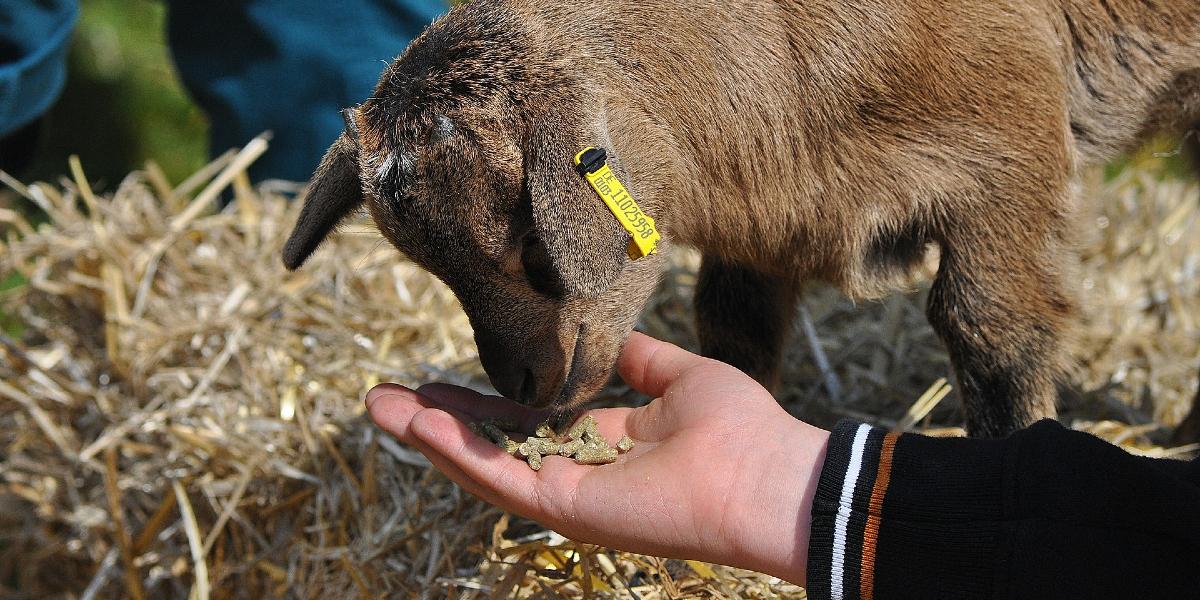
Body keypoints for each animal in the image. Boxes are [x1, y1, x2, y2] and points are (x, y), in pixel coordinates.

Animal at [283, 1, 1200, 441]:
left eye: (533, 242)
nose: (525, 388)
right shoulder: (768, 218)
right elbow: (735, 331)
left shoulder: (1010, 156)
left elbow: (993, 334)